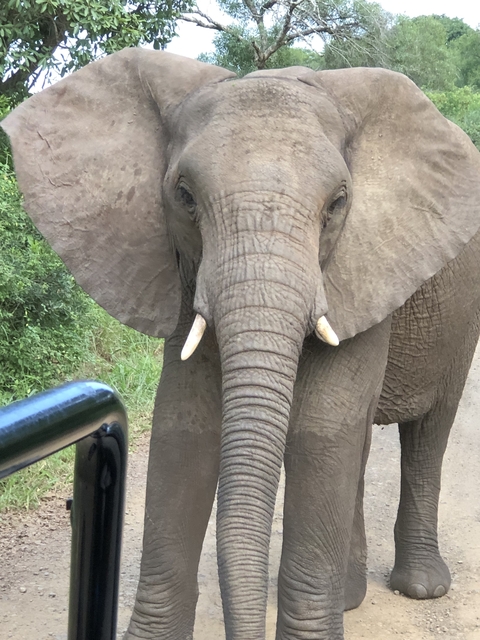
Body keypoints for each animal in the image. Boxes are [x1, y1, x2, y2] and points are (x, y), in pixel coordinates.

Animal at [3, 48, 480, 640]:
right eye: (184, 196)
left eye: (338, 203)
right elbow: (185, 423)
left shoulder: (362, 264)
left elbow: (321, 427)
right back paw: (351, 598)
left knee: (427, 431)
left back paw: (422, 587)